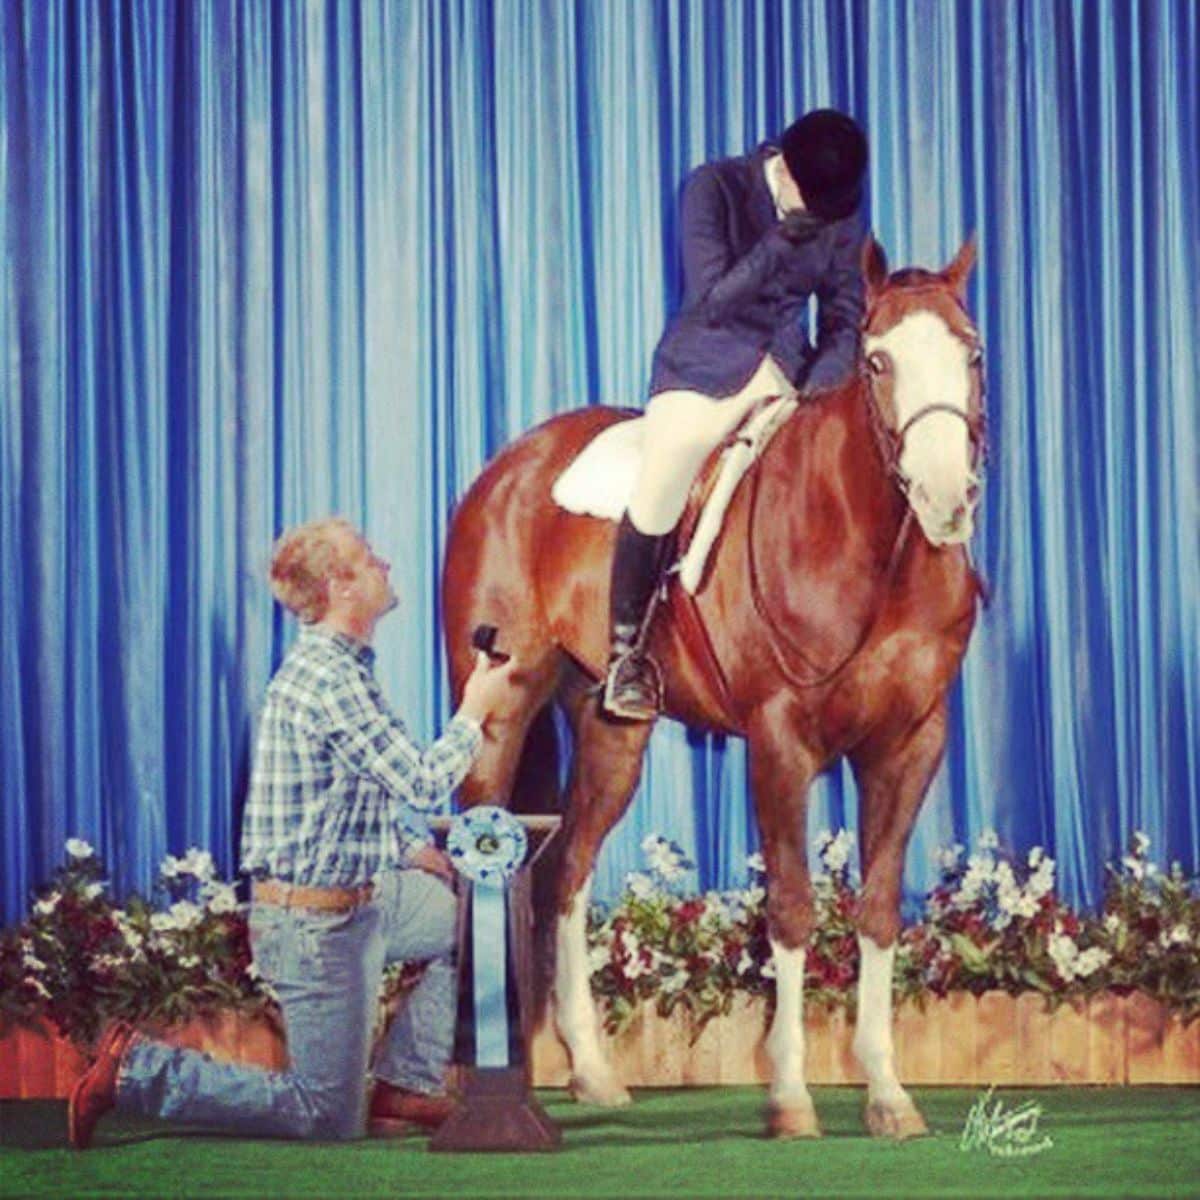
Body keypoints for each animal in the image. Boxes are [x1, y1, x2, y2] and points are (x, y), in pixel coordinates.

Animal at [441, 236, 984, 1142]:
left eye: (973, 353)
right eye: (877, 361)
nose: (949, 499)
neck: (872, 549)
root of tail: (511, 465)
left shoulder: (911, 743)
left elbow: (877, 910)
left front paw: (886, 1093)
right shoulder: (781, 740)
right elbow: (792, 908)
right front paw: (791, 1096)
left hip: (612, 731)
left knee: (567, 875)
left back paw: (590, 1072)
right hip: (497, 705)